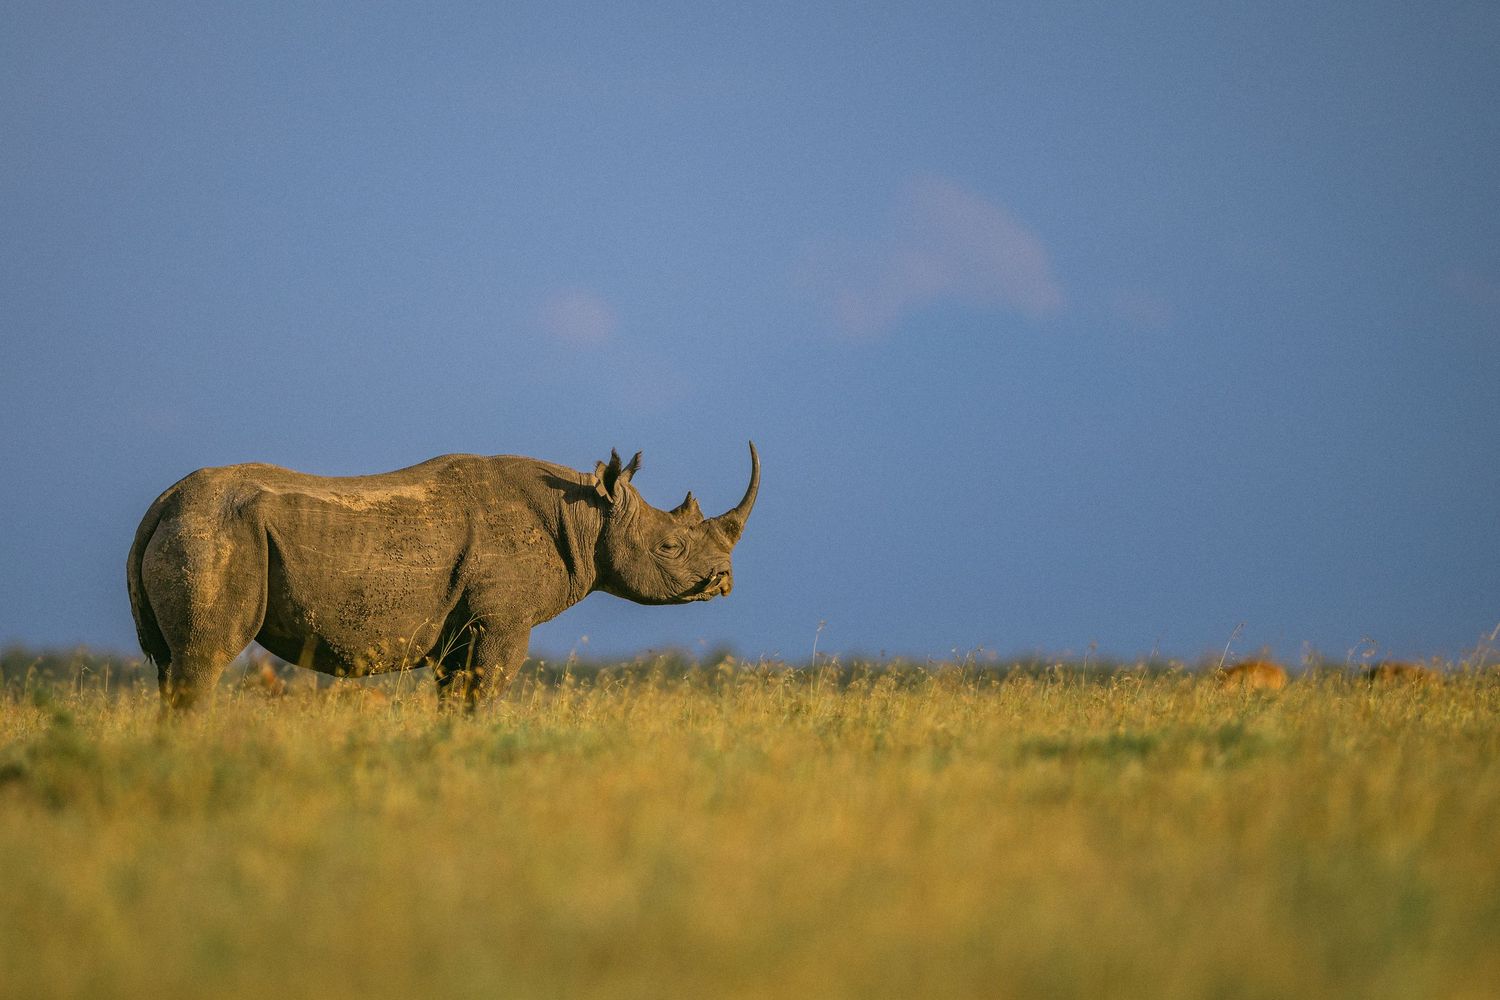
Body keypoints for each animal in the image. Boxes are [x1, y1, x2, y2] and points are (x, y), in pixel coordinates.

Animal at [127, 443, 758, 710]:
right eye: (671, 547)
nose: (723, 581)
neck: (584, 514)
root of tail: (161, 505)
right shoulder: (502, 621)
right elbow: (484, 692)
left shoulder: (462, 628)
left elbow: (454, 697)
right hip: (216, 532)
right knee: (203, 661)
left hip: (194, 526)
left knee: (169, 666)